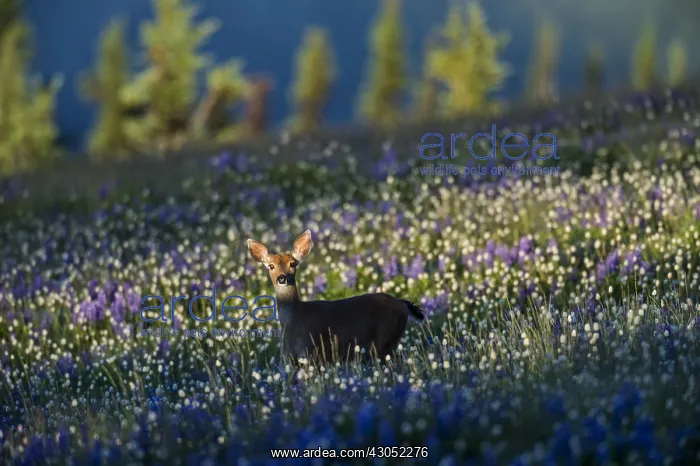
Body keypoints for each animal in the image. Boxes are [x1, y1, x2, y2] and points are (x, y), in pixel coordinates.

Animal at [246, 230, 425, 365]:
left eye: (293, 264)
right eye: (271, 266)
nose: (282, 278)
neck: (295, 321)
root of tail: (402, 303)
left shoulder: (312, 354)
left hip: (386, 340)